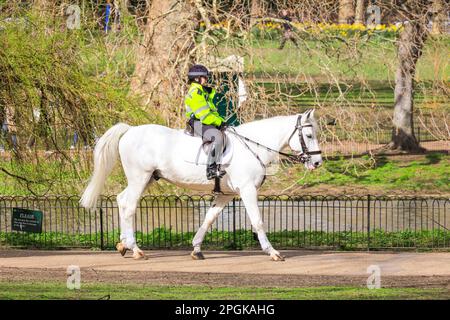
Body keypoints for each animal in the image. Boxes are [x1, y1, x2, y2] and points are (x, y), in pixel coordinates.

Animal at [80, 109, 320, 260]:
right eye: (309, 135)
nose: (317, 162)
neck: (253, 146)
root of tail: (130, 130)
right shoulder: (247, 190)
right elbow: (258, 221)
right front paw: (272, 252)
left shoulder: (225, 195)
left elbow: (208, 219)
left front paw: (196, 248)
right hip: (140, 177)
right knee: (129, 206)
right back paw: (136, 249)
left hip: (146, 179)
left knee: (121, 201)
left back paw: (123, 244)